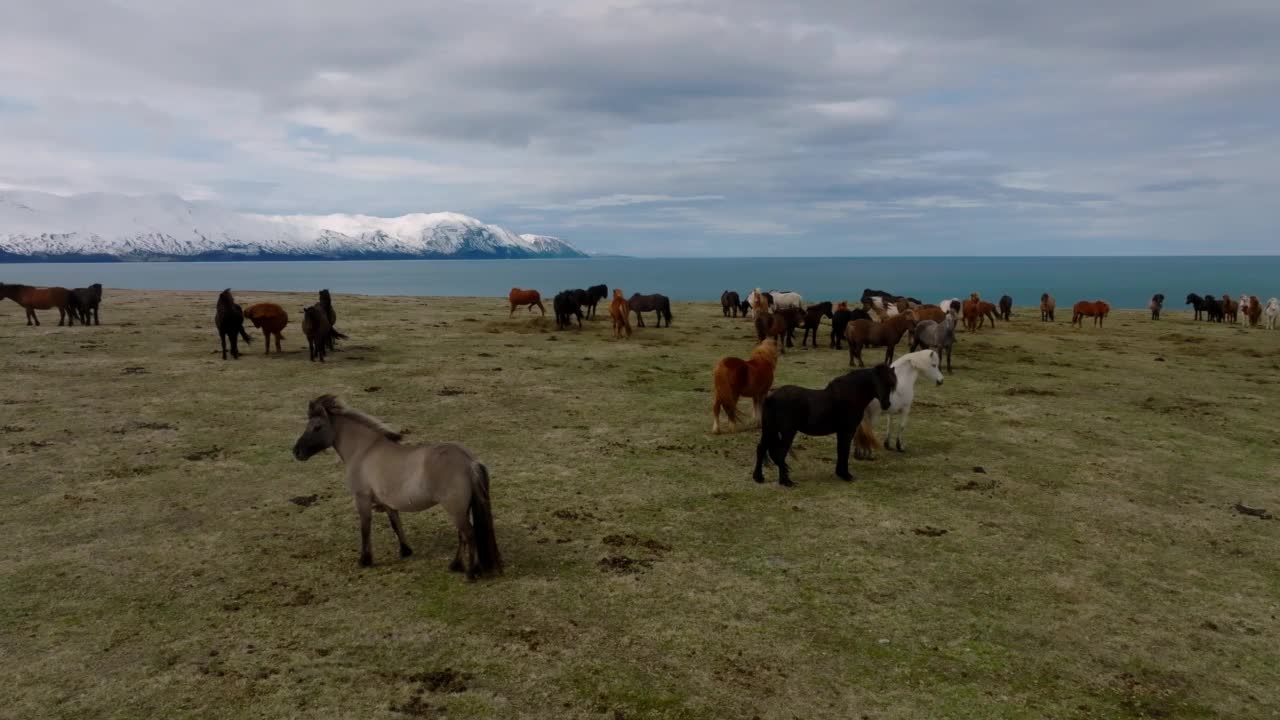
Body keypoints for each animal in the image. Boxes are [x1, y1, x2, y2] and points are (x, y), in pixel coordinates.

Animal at [293, 392, 501, 576]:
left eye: (317, 427)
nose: (296, 451)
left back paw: (472, 572)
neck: (365, 451)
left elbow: (365, 529)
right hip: (460, 509)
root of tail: (469, 461)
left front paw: (365, 560)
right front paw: (405, 551)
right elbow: (395, 524)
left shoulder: (362, 499)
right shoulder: (387, 502)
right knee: (462, 535)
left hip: (455, 509)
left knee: (469, 535)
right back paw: (455, 566)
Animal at [747, 361, 901, 484]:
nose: (886, 404)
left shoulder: (841, 432)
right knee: (779, 453)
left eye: (891, 385)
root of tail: (771, 398)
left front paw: (840, 473)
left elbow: (841, 450)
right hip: (787, 432)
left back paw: (759, 477)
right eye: (877, 382)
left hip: (770, 429)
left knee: (761, 449)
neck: (850, 395)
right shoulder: (847, 431)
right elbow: (844, 451)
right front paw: (846, 475)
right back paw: (786, 481)